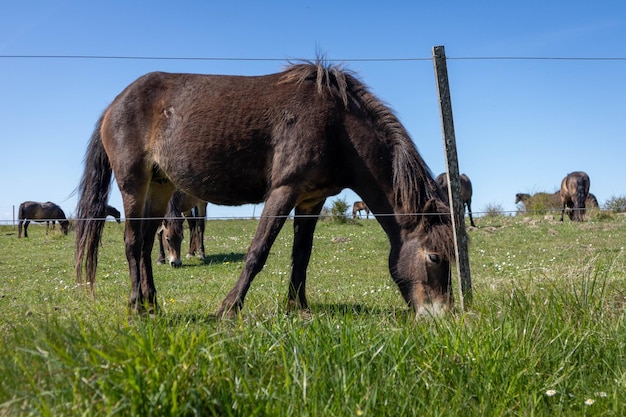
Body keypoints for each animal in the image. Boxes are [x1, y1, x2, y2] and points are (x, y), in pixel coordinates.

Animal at [75, 60, 454, 316]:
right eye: (435, 257)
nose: (440, 317)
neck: (337, 126)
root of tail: (114, 104)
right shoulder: (283, 191)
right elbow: (258, 252)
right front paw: (229, 308)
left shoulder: (311, 200)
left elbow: (302, 255)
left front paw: (297, 306)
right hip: (133, 184)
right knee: (132, 243)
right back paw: (138, 305)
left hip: (160, 186)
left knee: (145, 243)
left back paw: (152, 302)